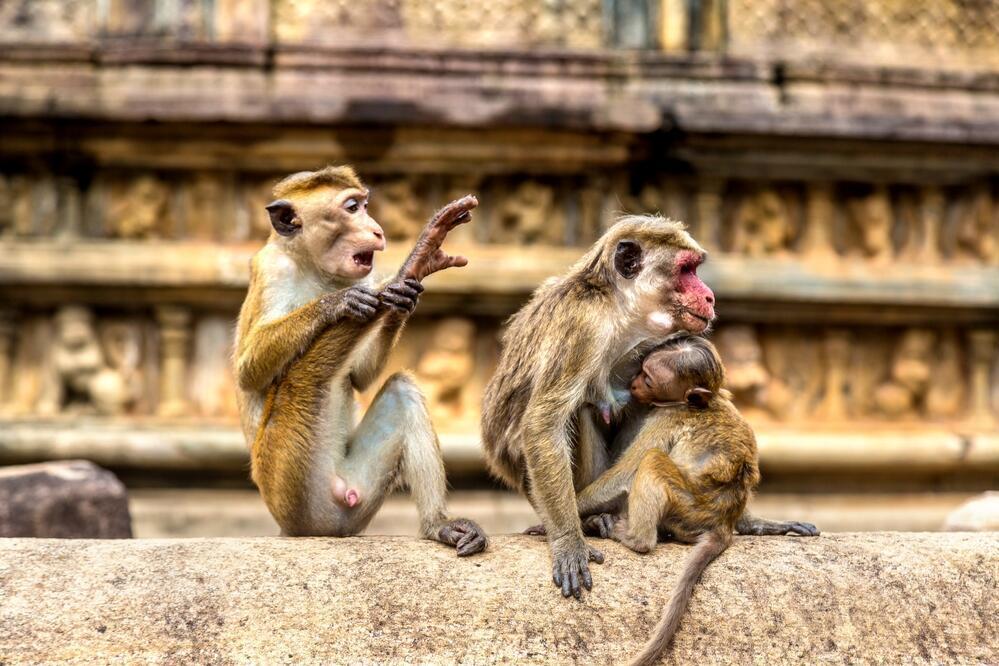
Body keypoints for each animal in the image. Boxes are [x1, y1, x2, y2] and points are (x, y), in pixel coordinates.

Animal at [235, 165, 487, 556]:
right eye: (352, 208)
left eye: (365, 206)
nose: (377, 229)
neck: (314, 268)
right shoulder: (272, 268)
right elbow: (247, 372)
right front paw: (344, 300)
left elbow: (360, 378)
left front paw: (405, 289)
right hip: (288, 486)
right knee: (300, 381)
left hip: (358, 494)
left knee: (401, 390)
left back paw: (438, 525)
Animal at [481, 214, 719, 598]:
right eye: (686, 270)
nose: (710, 296)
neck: (615, 308)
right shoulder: (582, 326)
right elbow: (543, 424)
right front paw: (568, 541)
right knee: (579, 410)